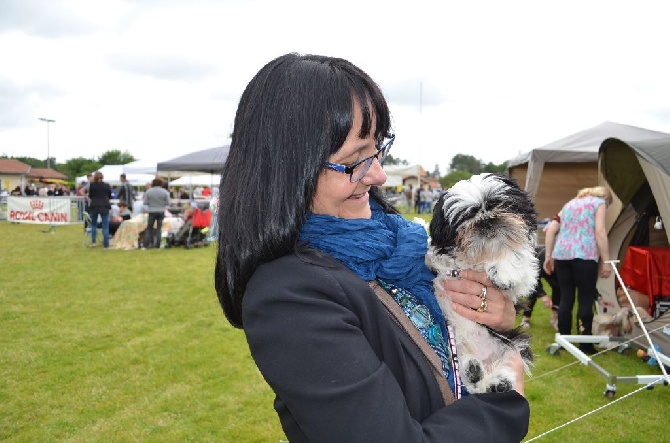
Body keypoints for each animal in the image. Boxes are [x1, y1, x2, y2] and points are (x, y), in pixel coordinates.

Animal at [430, 173, 540, 396]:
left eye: (500, 204)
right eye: (465, 217)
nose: (486, 220)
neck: (482, 256)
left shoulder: (524, 280)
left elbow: (517, 257)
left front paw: (503, 269)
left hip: (514, 344)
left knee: (506, 369)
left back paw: (498, 382)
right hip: (461, 355)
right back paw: (477, 375)